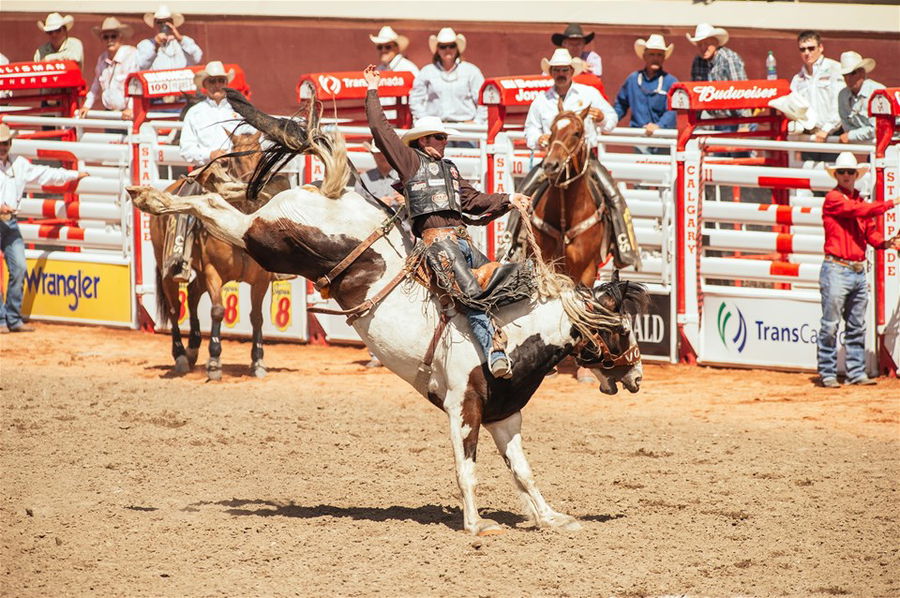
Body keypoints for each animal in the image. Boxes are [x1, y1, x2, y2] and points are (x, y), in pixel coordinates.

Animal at [149, 134, 282, 382]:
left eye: (262, 155)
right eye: (236, 160)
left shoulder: (260, 279)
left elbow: (257, 317)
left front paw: (258, 361)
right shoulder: (213, 272)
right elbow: (218, 311)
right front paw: (214, 363)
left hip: (199, 273)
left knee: (192, 296)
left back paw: (192, 349)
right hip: (168, 269)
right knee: (174, 308)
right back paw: (180, 356)